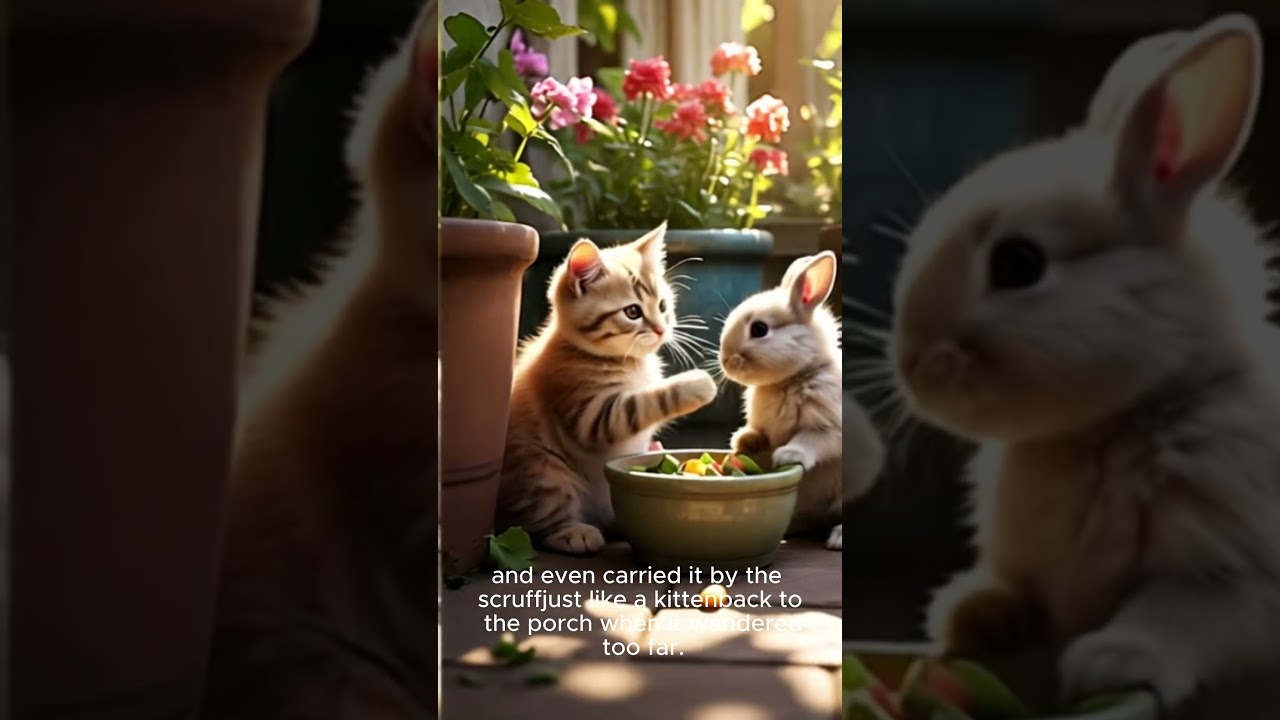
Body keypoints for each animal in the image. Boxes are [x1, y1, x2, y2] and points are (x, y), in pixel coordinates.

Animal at [720, 251, 883, 550]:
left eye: (759, 329)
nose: (726, 361)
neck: (793, 377)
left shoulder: (829, 428)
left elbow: (811, 441)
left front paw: (787, 454)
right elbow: (759, 436)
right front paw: (743, 441)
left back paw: (836, 540)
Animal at [887, 12, 1280, 717]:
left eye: (1018, 263)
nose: (914, 366)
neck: (1119, 422)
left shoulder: (1236, 579)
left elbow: (1183, 615)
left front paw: (1112, 661)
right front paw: (974, 614)